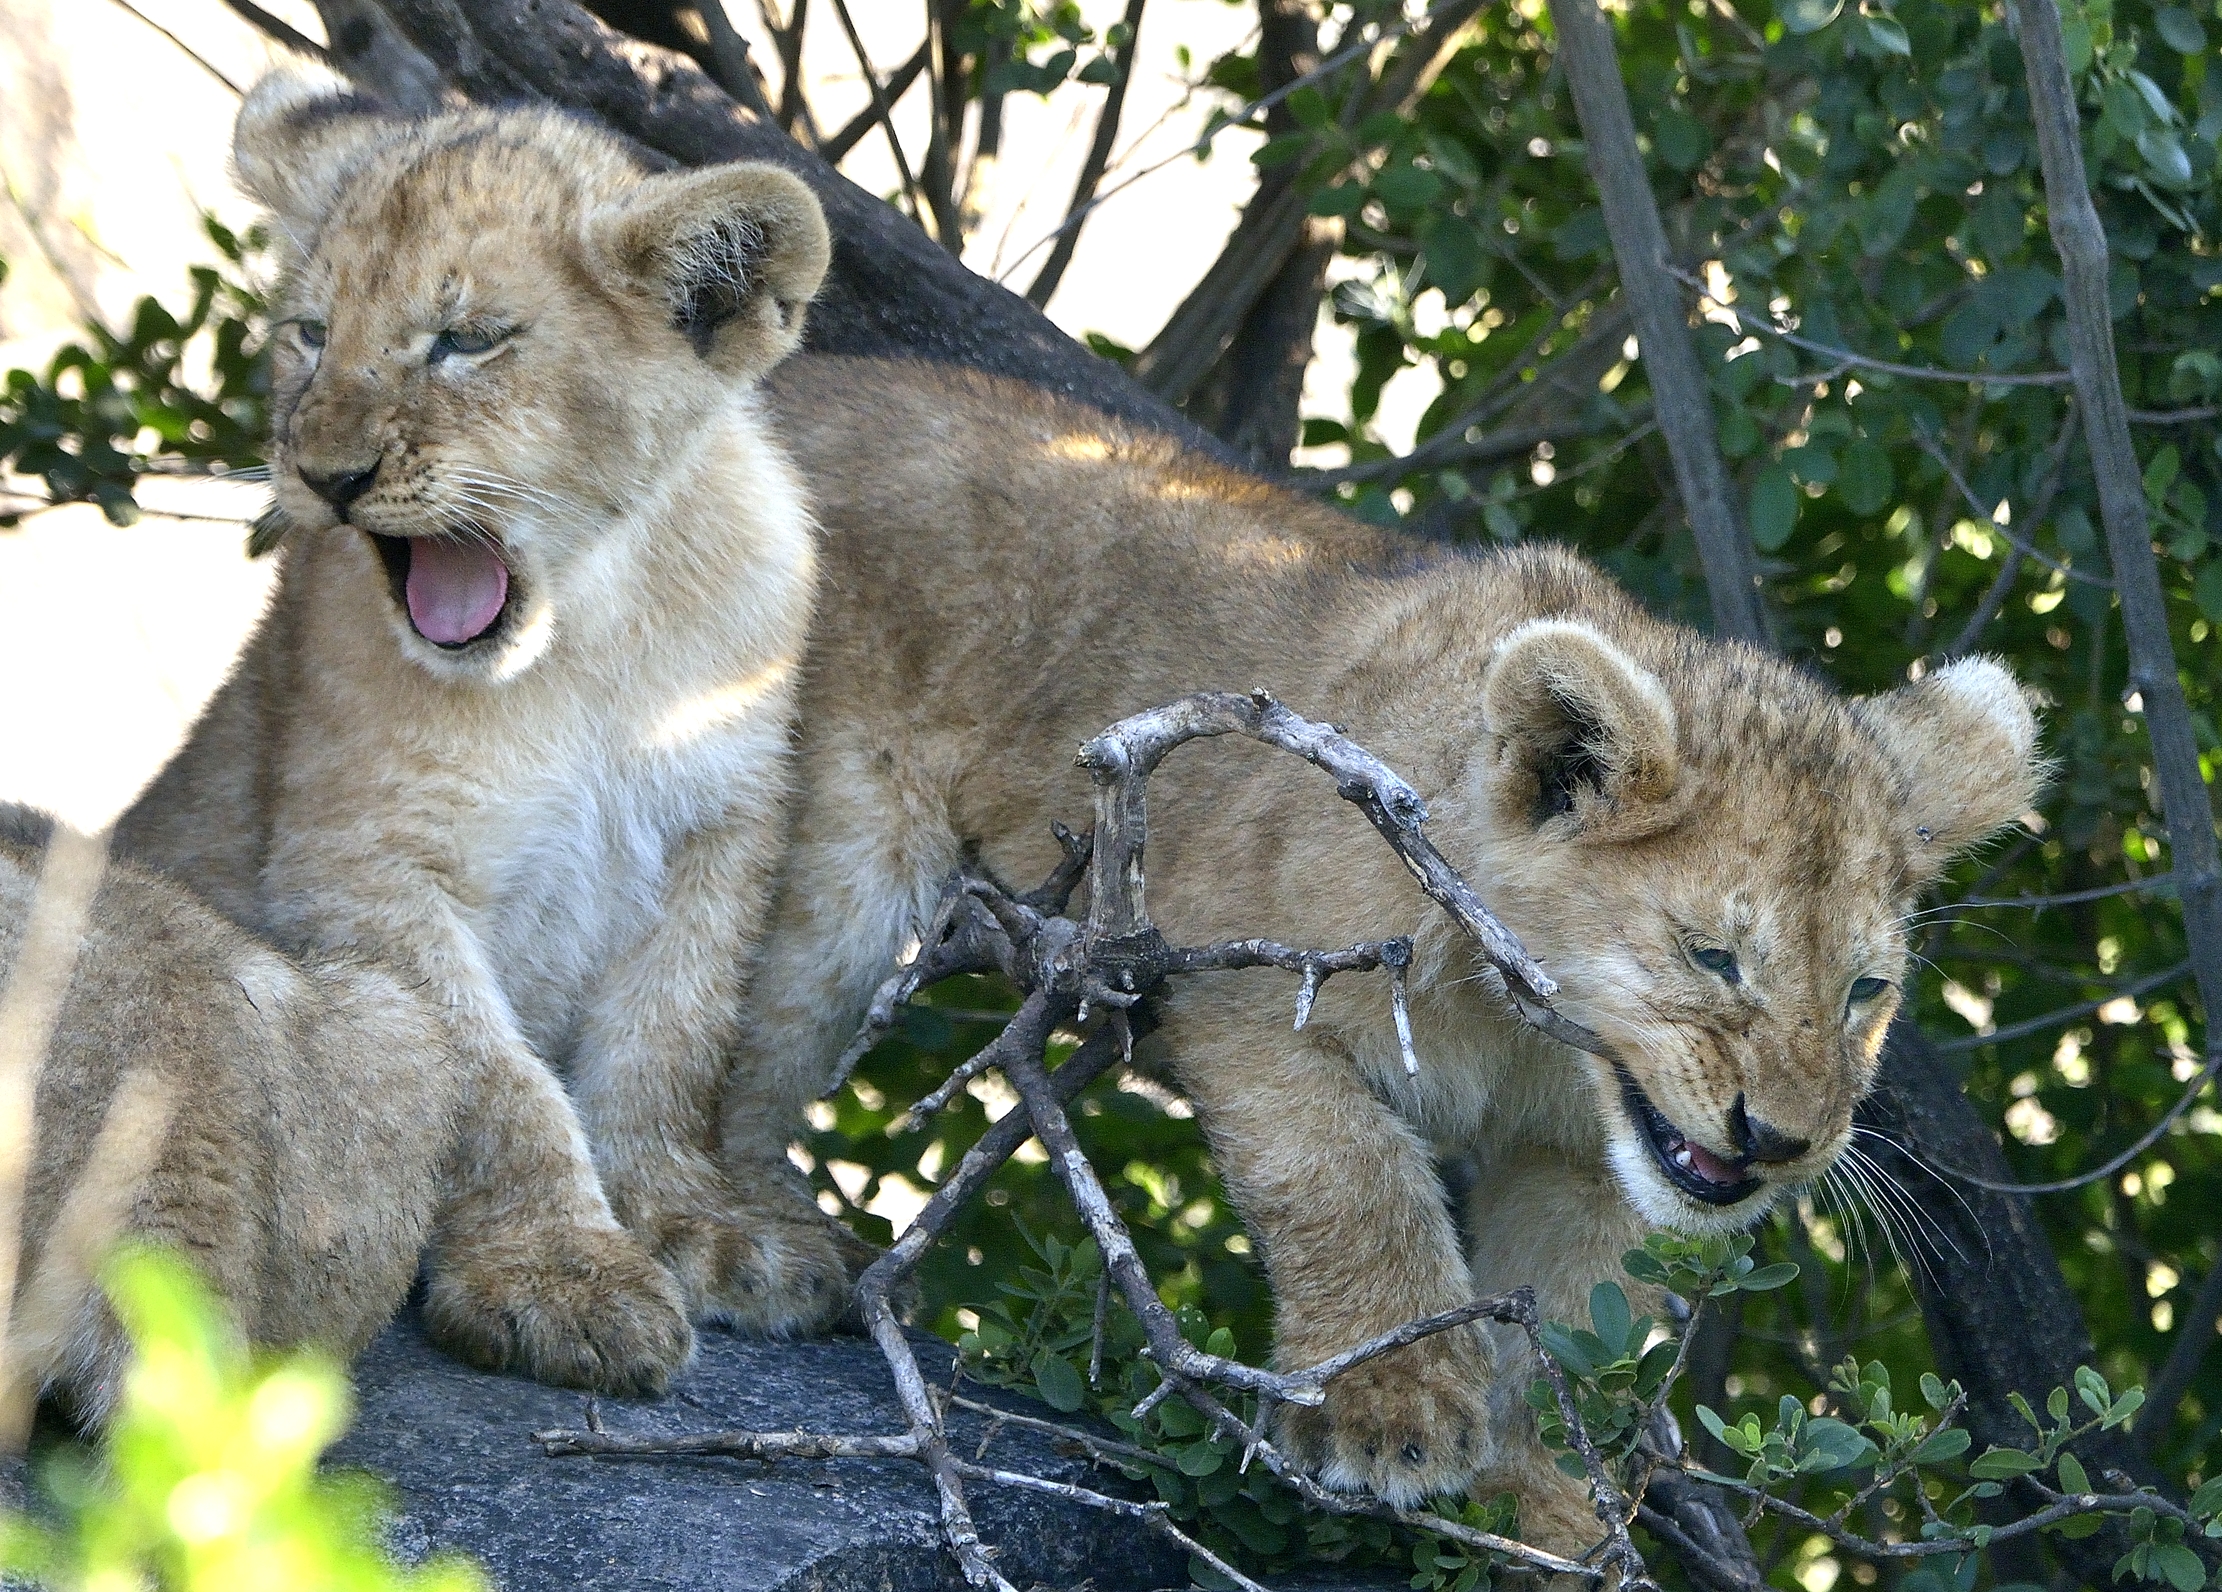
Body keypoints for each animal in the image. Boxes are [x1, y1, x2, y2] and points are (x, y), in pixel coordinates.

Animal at [115, 71, 849, 1396]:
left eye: (467, 339)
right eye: (311, 333)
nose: (327, 475)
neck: (590, 642)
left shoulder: (723, 828)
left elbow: (671, 1040)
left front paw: (700, 1222)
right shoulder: (361, 863)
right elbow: (492, 1081)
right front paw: (556, 1275)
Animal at [726, 358, 2044, 1549]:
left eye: (1865, 988)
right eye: (1712, 955)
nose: (1778, 1141)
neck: (1530, 1028)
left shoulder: (1582, 1155)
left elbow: (1569, 1309)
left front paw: (1536, 1498)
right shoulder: (1246, 992)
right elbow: (1344, 1177)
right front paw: (1384, 1408)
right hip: (827, 847)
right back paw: (735, 1240)